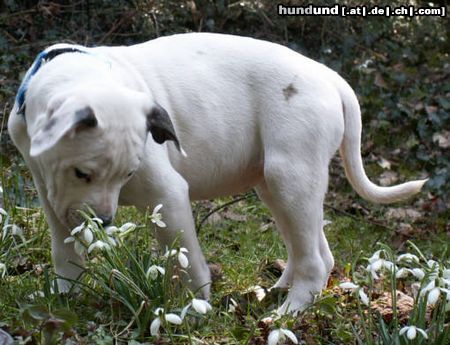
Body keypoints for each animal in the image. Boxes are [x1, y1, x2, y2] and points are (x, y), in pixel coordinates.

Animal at [7, 33, 426, 314]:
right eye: (82, 173)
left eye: (128, 175)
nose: (104, 222)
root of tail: (331, 78)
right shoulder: (49, 192)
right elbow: (64, 248)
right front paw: (65, 297)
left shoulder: (169, 194)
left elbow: (186, 259)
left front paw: (192, 311)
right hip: (276, 186)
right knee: (313, 246)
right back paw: (282, 289)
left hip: (290, 176)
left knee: (315, 258)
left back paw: (288, 313)